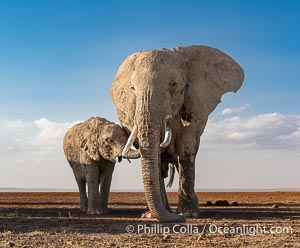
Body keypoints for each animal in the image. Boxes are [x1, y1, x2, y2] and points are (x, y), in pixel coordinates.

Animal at [110, 45, 244, 222]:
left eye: (173, 85)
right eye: (132, 89)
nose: (180, 219)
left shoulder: (195, 102)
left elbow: (186, 147)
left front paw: (188, 214)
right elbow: (156, 156)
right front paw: (151, 215)